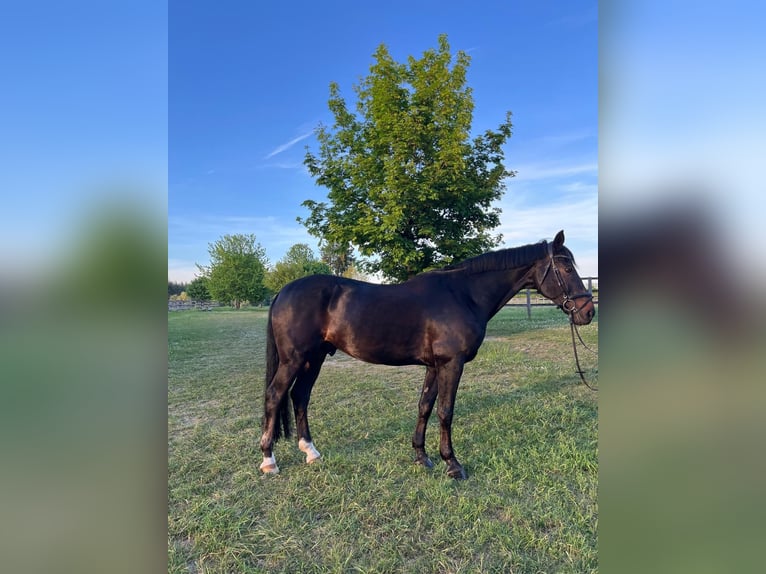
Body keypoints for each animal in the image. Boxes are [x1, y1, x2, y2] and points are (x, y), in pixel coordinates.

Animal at [260, 230, 595, 479]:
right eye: (566, 268)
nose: (587, 311)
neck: (462, 294)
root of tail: (283, 291)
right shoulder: (451, 364)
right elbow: (446, 411)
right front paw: (453, 464)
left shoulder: (434, 366)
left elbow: (425, 407)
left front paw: (421, 457)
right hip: (294, 360)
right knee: (275, 395)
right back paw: (268, 460)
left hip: (313, 359)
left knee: (300, 396)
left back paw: (311, 452)